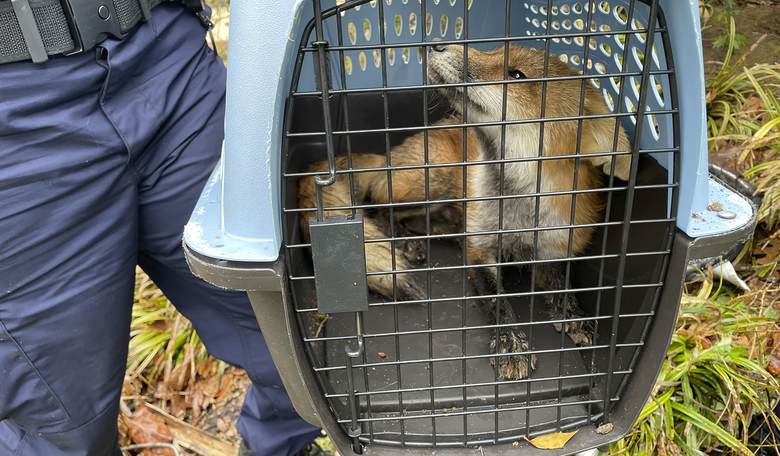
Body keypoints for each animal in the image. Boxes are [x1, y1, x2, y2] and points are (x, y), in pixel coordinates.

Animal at [297, 44, 632, 380]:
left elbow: (563, 283)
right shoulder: (481, 251)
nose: (438, 44)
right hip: (433, 179)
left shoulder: (555, 246)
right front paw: (511, 343)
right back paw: (406, 242)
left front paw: (574, 315)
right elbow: (498, 300)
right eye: (494, 49)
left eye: (516, 75)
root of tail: (389, 156)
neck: (518, 212)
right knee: (380, 208)